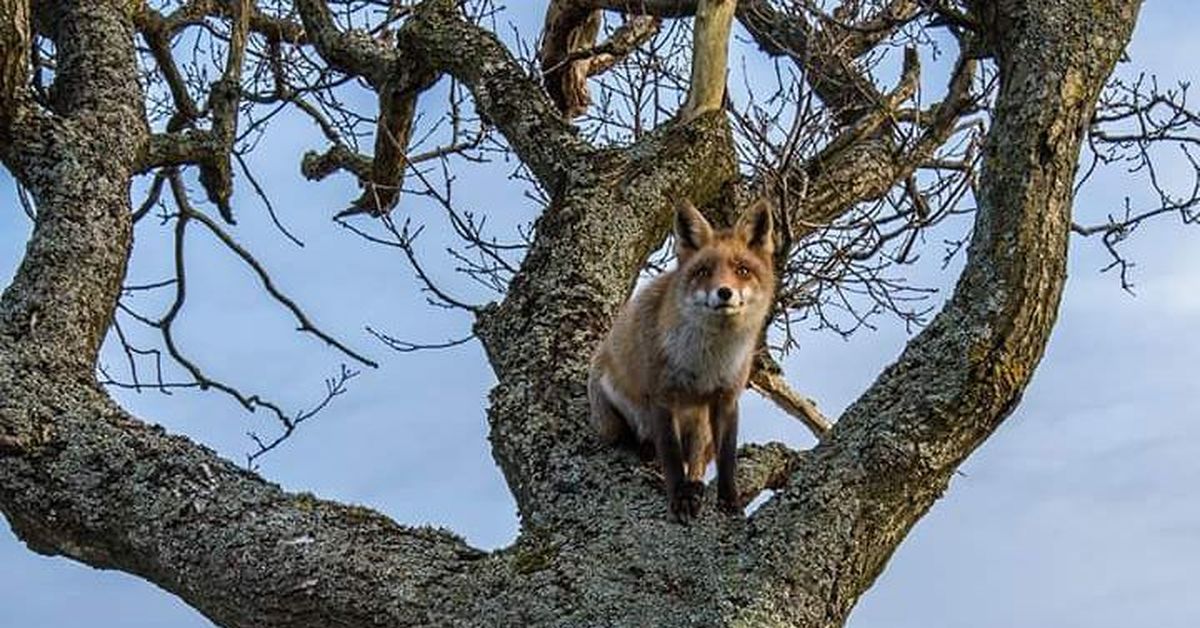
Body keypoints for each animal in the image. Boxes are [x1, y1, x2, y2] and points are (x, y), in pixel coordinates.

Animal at [590, 199, 777, 523]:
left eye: (742, 269)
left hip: (700, 422)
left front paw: (729, 502)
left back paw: (696, 486)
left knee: (698, 460)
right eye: (703, 271)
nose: (724, 292)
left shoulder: (726, 398)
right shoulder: (662, 396)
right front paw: (679, 498)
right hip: (611, 411)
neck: (707, 361)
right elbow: (672, 456)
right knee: (639, 443)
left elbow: (726, 459)